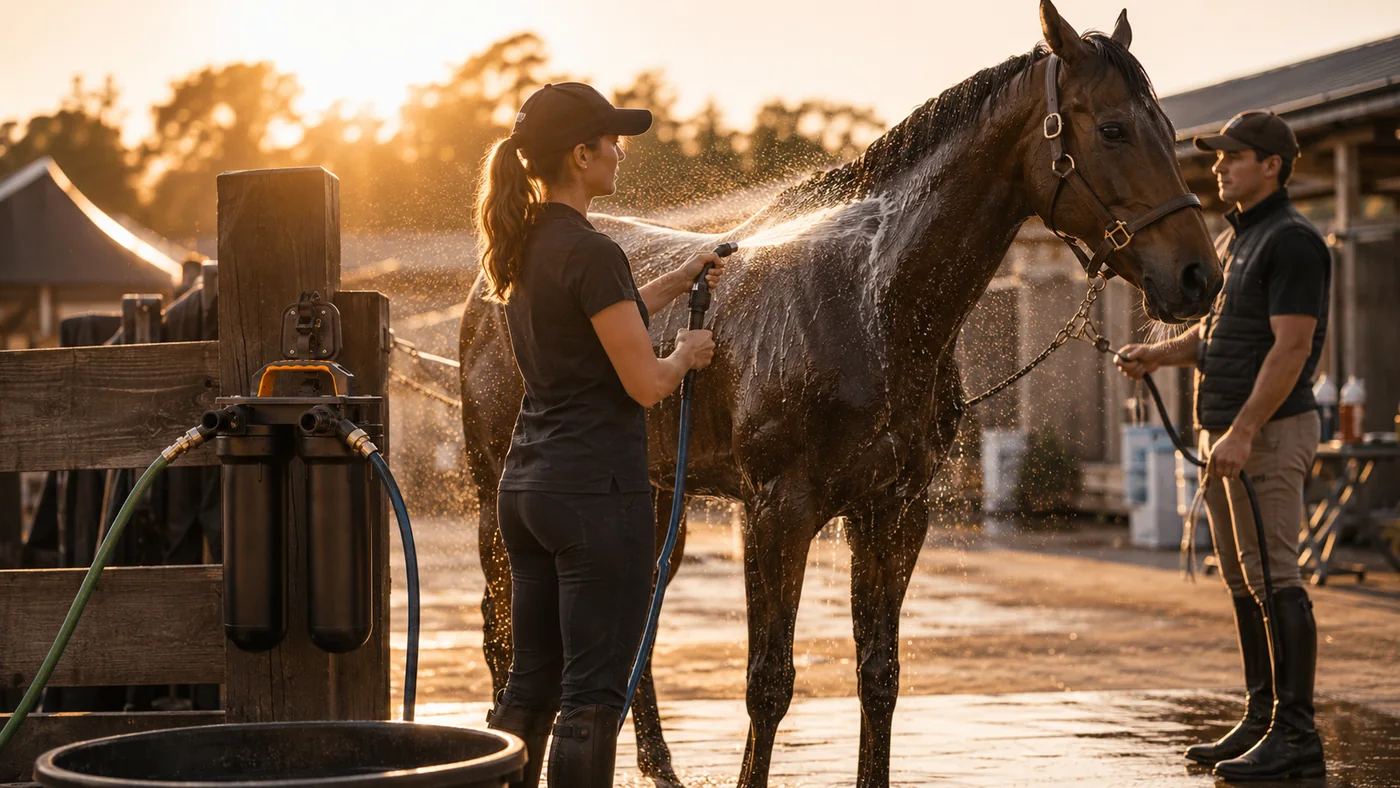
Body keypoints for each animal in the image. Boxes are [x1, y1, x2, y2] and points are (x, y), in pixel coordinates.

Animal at [458, 3, 1222, 785]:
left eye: (1167, 127)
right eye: (1113, 128)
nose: (1199, 277)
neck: (868, 302)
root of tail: (492, 281)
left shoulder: (893, 511)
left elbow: (878, 674)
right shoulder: (777, 513)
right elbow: (768, 681)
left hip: (653, 497)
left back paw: (656, 761)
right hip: (496, 498)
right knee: (502, 628)